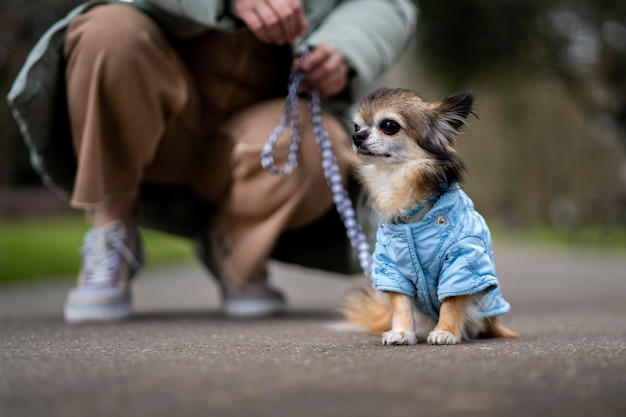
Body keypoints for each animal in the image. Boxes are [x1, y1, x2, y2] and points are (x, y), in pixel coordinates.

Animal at [344, 88, 516, 344]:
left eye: (389, 125)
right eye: (356, 126)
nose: (357, 137)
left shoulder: (460, 260)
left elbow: (452, 300)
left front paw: (446, 331)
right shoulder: (393, 267)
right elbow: (400, 302)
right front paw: (401, 331)